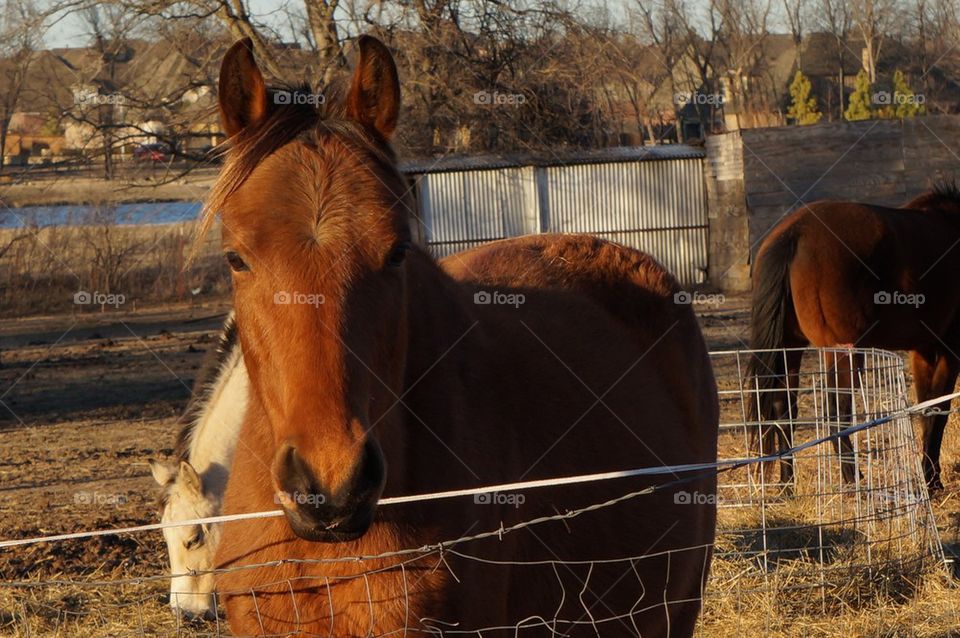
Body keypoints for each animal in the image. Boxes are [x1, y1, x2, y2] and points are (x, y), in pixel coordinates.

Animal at [752, 185, 960, 490]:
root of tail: (795, 231)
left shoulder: (924, 352)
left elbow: (926, 410)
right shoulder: (949, 351)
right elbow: (937, 411)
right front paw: (931, 481)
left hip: (791, 347)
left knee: (784, 407)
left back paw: (787, 485)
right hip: (843, 351)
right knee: (836, 414)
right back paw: (854, 480)